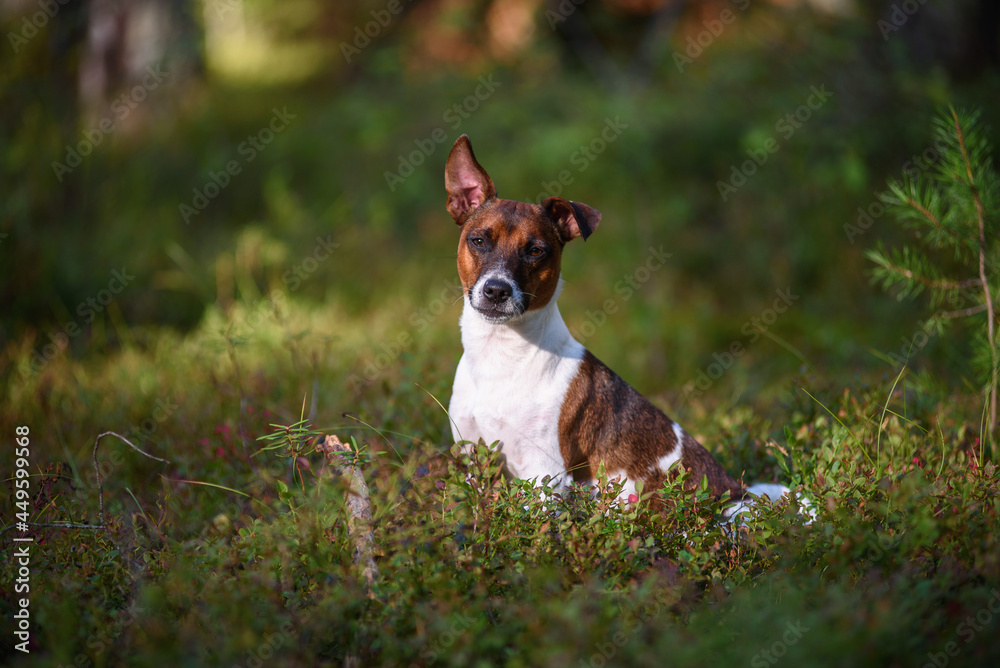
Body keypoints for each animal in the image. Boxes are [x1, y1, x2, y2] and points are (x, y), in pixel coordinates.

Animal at [446, 134, 780, 506]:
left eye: (535, 251)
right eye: (478, 241)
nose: (496, 290)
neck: (501, 353)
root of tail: (739, 493)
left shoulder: (544, 474)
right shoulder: (474, 457)